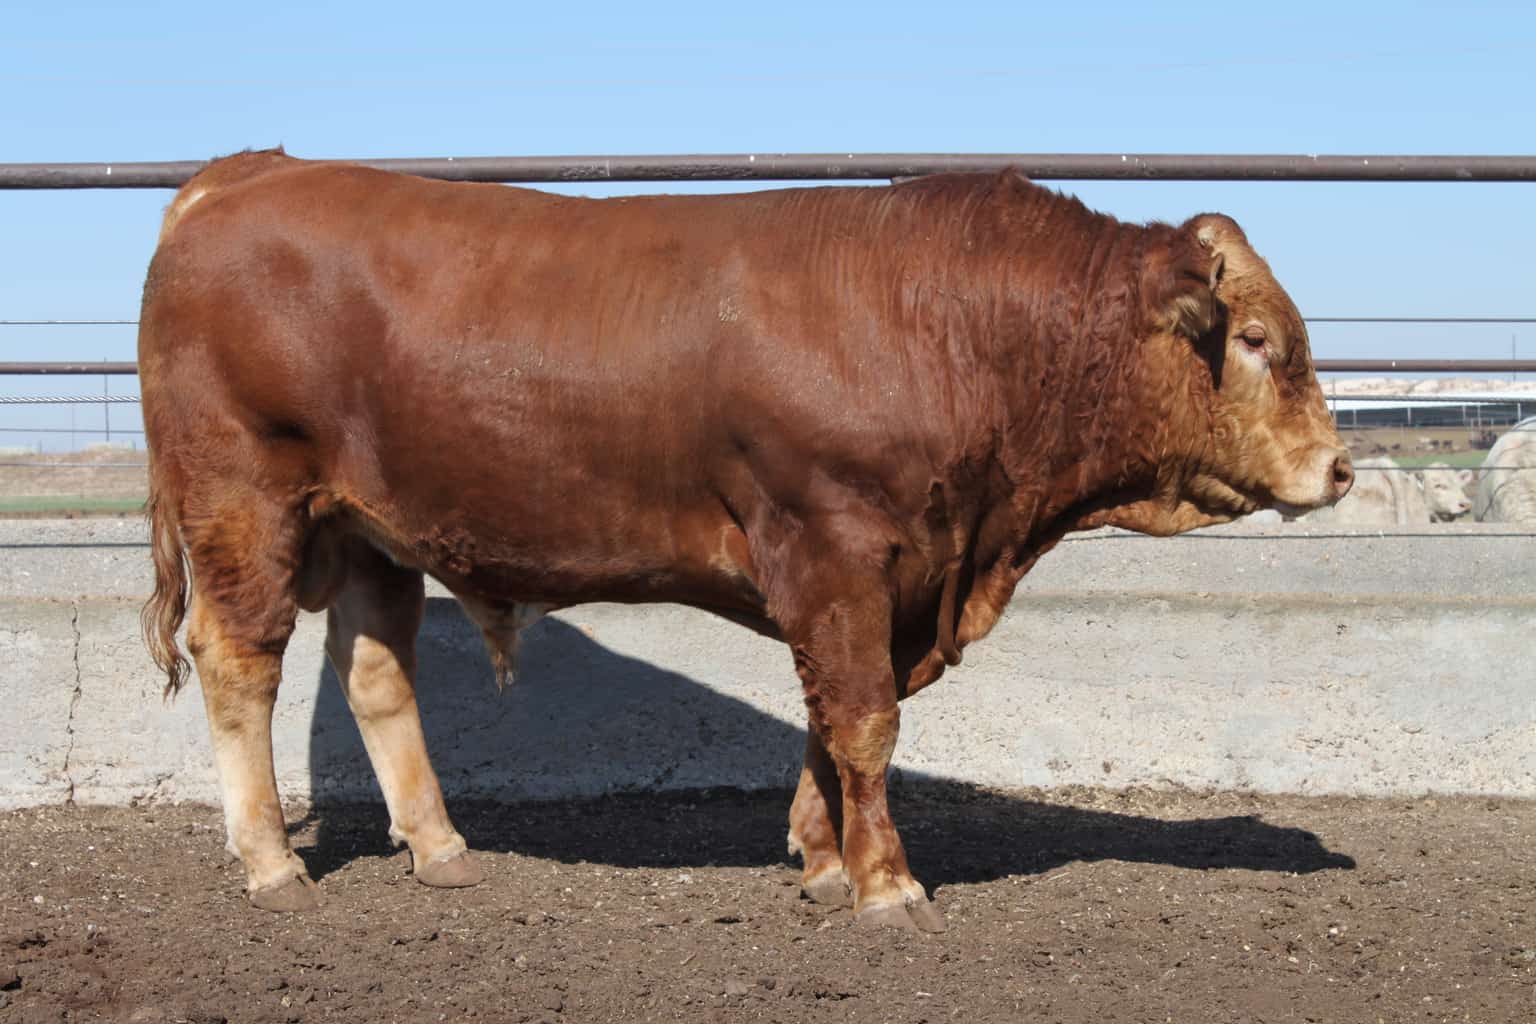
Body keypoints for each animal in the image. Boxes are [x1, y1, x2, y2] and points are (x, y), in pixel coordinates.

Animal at [137, 150, 1352, 931]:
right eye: (1253, 338)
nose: (1339, 467)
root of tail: (242, 174)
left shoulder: (873, 579)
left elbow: (833, 718)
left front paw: (820, 861)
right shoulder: (835, 545)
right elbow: (864, 722)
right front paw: (884, 884)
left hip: (372, 529)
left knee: (376, 672)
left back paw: (440, 850)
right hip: (246, 498)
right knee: (240, 663)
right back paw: (271, 864)